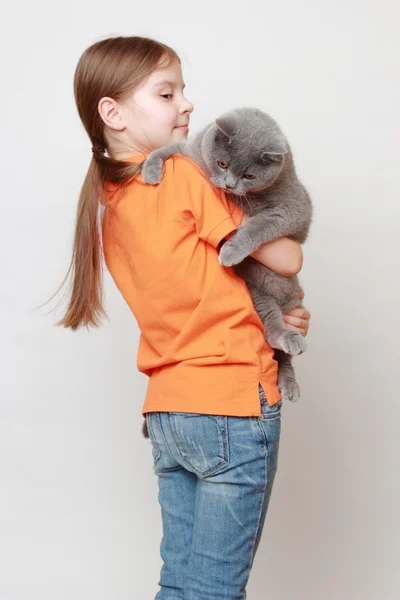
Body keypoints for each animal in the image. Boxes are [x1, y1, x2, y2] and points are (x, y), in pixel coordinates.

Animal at [141, 105, 312, 438]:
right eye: (222, 163)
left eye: (249, 175)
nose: (229, 186)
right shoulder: (192, 153)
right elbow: (167, 149)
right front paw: (150, 170)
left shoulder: (290, 208)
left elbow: (257, 226)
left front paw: (231, 251)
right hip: (258, 293)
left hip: (277, 292)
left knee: (281, 351)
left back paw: (290, 367)